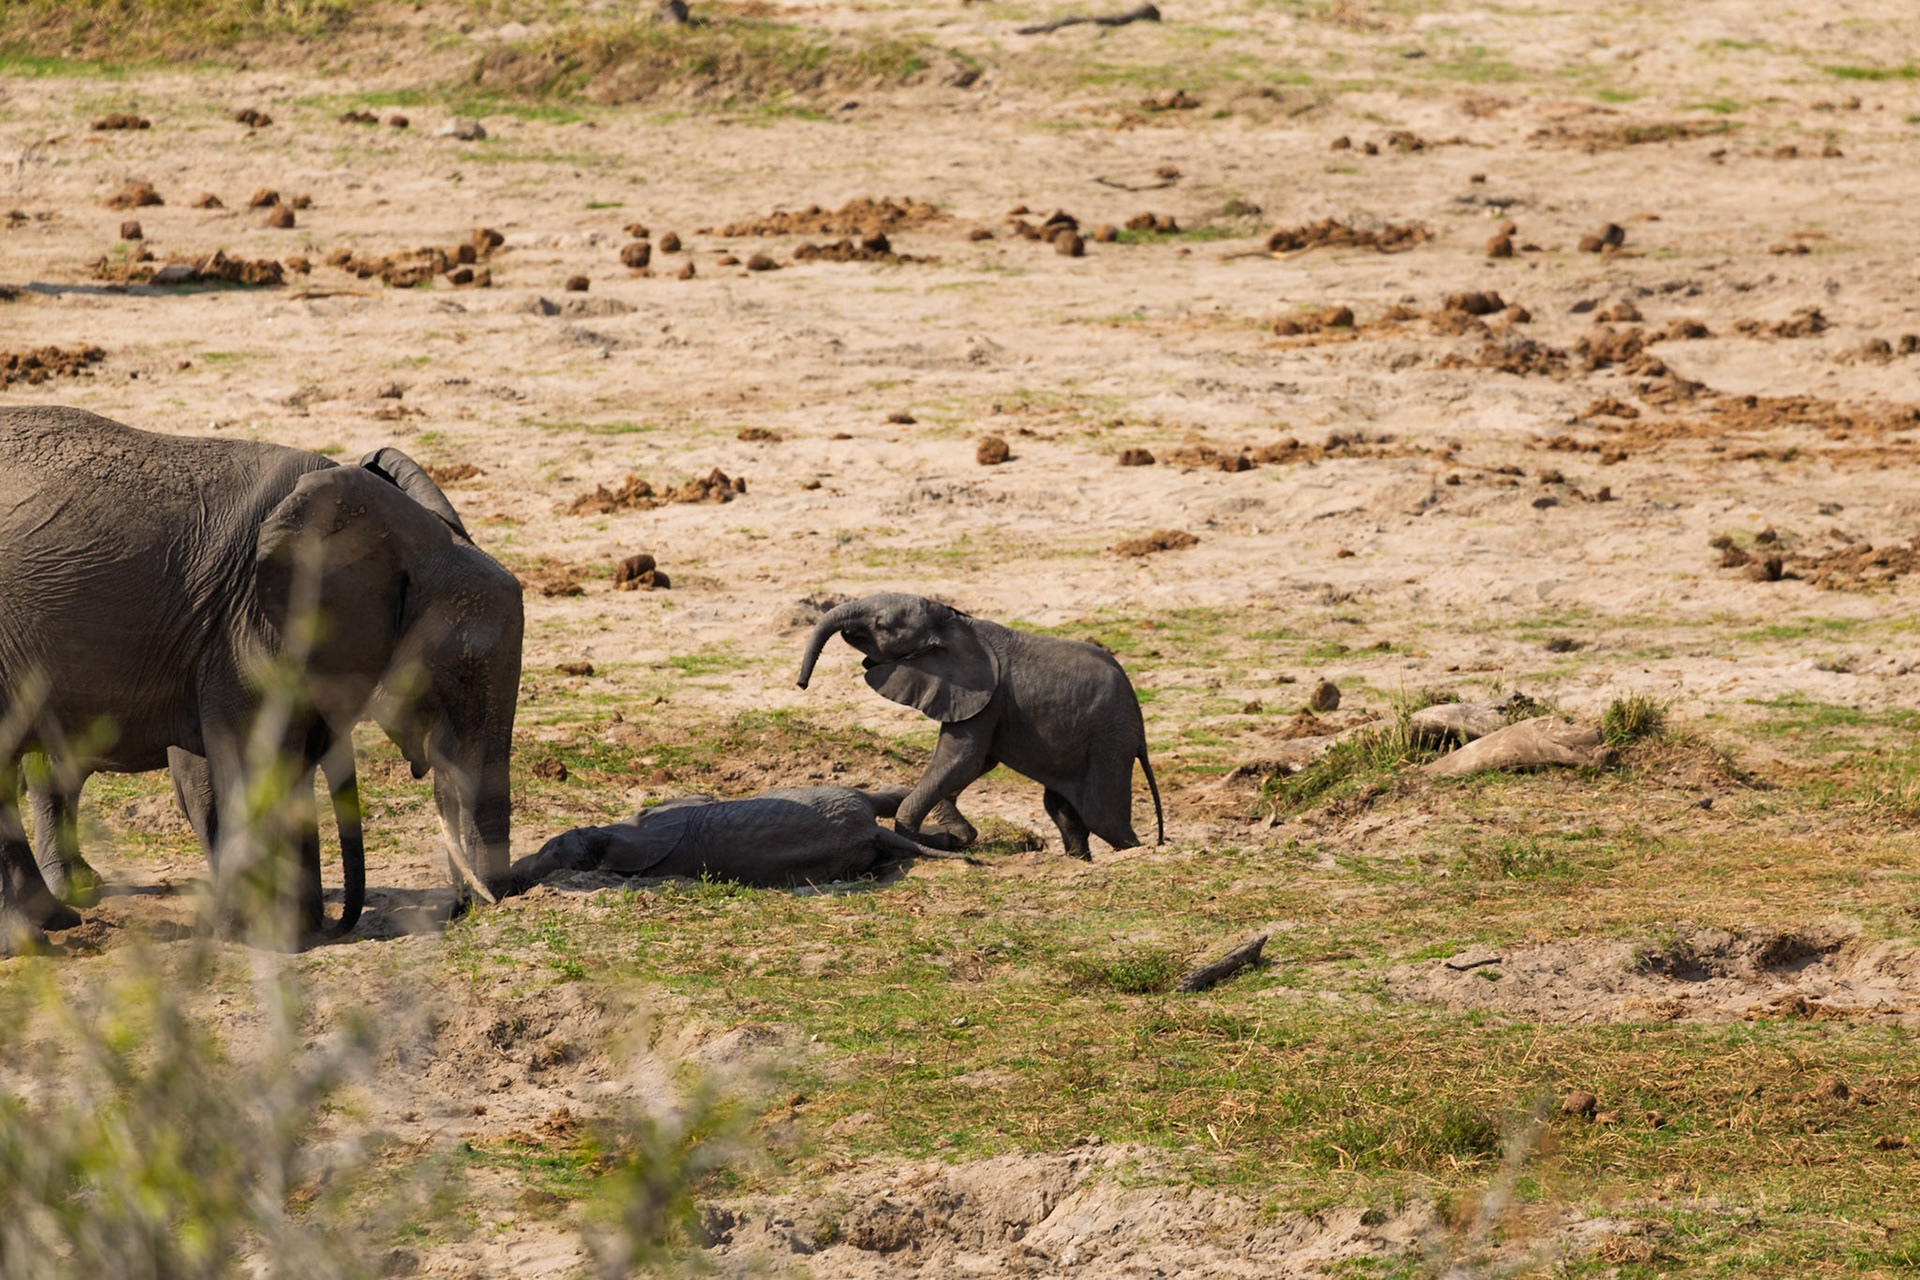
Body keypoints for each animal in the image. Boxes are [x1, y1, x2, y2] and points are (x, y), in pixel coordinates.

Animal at [0, 406, 524, 953]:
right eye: (456, 672)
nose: (465, 906)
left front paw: (293, 930)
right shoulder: (243, 627)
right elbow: (249, 762)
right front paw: (263, 937)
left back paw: (56, 919)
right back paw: (36, 936)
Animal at [795, 593, 1162, 859]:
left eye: (882, 625)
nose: (802, 684)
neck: (954, 622)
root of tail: (1141, 730)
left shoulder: (986, 694)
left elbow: (963, 759)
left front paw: (931, 837)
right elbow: (975, 763)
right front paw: (957, 835)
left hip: (1110, 740)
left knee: (1104, 818)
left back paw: (1136, 851)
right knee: (1062, 810)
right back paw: (1078, 859)